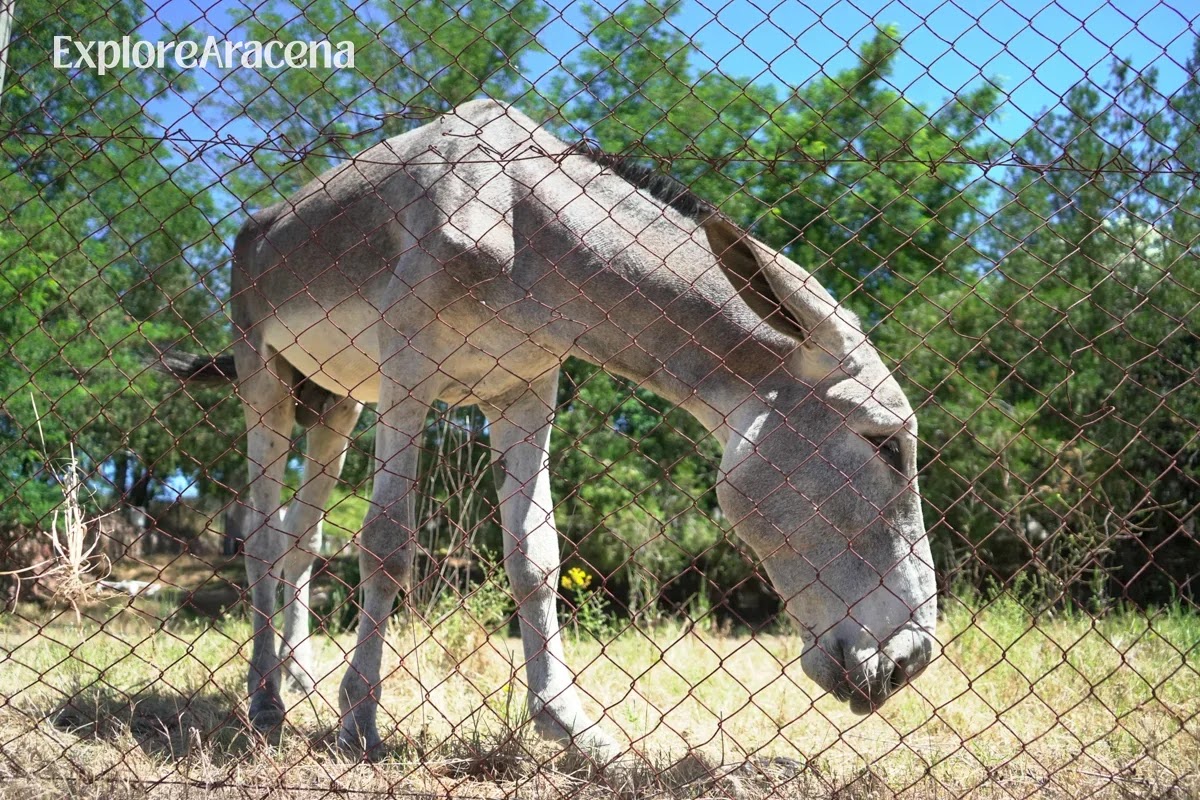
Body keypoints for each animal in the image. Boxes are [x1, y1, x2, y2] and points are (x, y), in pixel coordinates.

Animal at [159, 99, 937, 762]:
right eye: (885, 444)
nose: (912, 661)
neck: (517, 221)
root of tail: (263, 219)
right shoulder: (408, 370)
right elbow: (387, 545)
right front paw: (359, 724)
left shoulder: (526, 389)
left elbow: (536, 557)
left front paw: (569, 724)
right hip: (264, 378)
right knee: (262, 537)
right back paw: (265, 702)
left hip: (337, 402)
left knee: (300, 537)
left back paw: (297, 677)